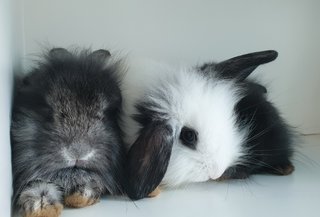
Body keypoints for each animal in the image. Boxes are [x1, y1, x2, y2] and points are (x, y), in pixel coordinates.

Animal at [10, 48, 125, 217]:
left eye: (103, 114)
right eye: (49, 111)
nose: (78, 152)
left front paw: (81, 198)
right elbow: (38, 187)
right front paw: (42, 209)